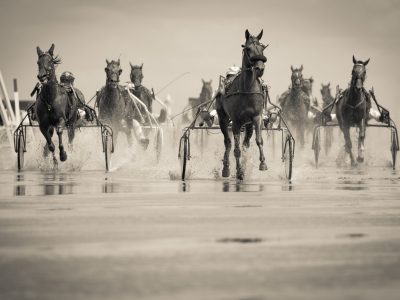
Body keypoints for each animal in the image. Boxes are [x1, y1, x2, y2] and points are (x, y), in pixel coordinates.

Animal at [216, 29, 268, 179]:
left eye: (262, 48)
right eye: (248, 48)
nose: (260, 68)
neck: (247, 90)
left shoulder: (256, 117)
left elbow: (258, 140)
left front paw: (263, 163)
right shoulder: (236, 122)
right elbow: (236, 149)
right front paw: (239, 171)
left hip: (248, 124)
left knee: (246, 143)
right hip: (223, 118)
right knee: (228, 143)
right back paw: (226, 168)